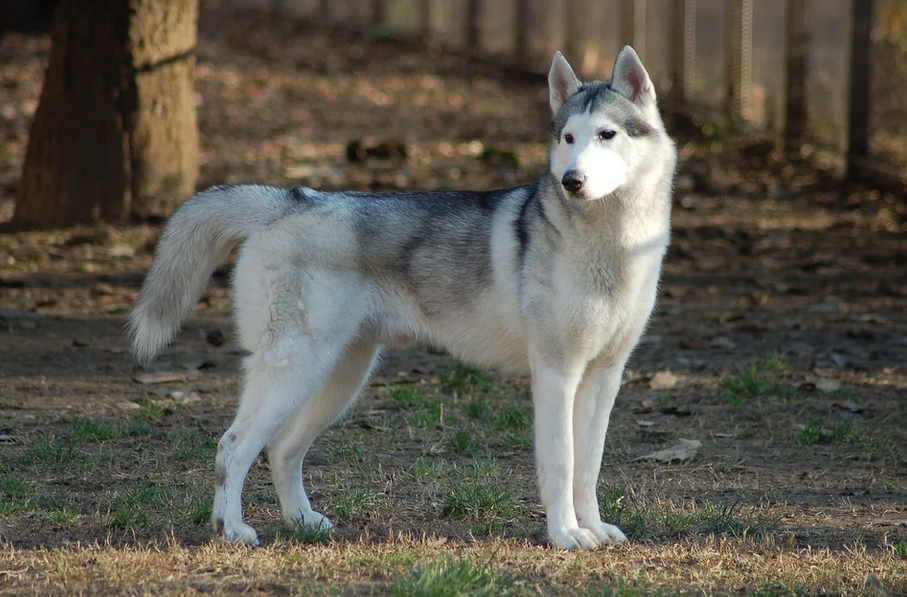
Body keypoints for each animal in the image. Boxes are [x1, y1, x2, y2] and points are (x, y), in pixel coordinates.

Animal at [131, 47, 676, 548]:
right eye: (568, 138)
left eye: (607, 135)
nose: (571, 181)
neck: (614, 245)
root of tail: (291, 200)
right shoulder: (555, 373)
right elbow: (561, 464)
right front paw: (565, 534)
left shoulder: (604, 376)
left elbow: (588, 465)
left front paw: (593, 528)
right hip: (296, 371)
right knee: (233, 446)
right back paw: (231, 529)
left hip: (340, 377)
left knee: (282, 449)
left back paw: (302, 521)